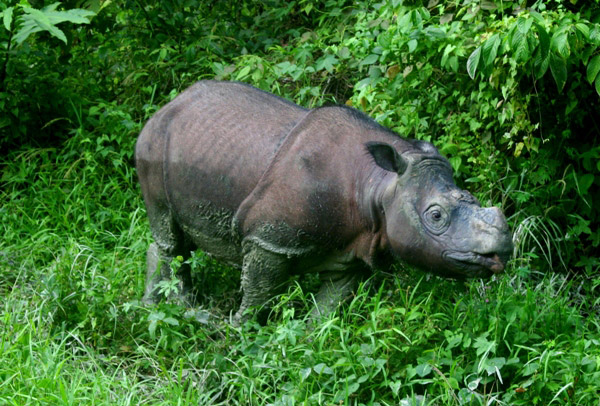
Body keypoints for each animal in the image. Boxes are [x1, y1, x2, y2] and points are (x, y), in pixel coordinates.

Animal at [135, 80, 510, 324]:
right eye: (435, 216)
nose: (502, 250)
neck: (378, 184)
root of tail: (166, 106)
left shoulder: (354, 249)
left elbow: (331, 305)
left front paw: (308, 335)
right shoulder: (267, 239)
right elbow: (257, 294)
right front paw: (240, 333)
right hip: (153, 143)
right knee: (168, 234)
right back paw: (178, 308)